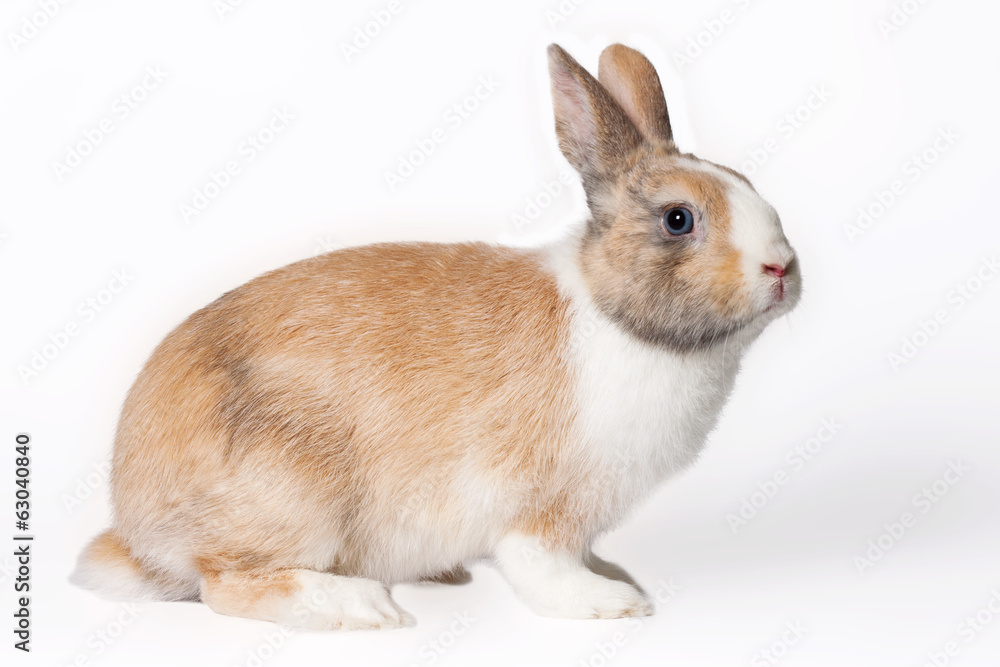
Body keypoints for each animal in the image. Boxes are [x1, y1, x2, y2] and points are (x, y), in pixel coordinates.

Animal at [71, 42, 800, 630]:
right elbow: (542, 564)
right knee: (225, 582)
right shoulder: (538, 505)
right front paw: (612, 603)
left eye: (752, 187)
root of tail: (132, 530)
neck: (614, 316)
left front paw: (616, 576)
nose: (784, 269)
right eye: (679, 219)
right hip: (292, 494)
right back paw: (363, 607)